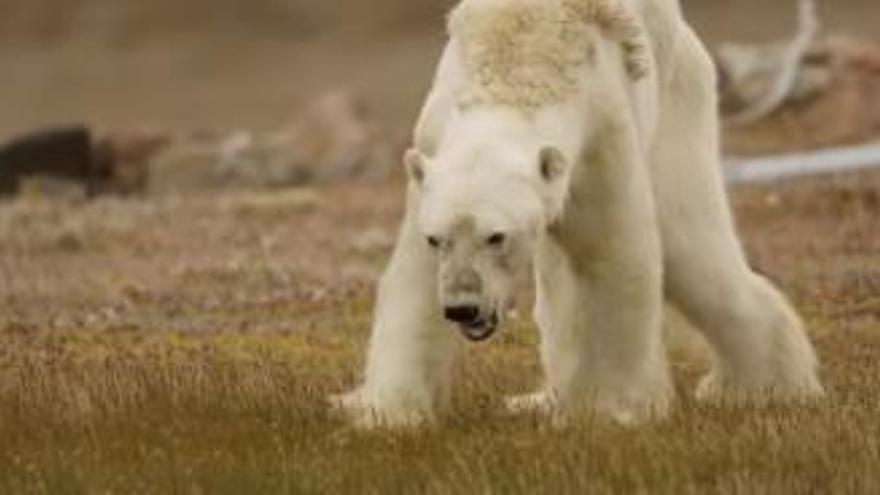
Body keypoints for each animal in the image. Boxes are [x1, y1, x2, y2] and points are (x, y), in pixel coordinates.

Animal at [332, 0, 824, 428]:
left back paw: (761, 388)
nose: (463, 309)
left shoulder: (599, 137)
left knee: (692, 252)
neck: (519, 62)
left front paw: (610, 410)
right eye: (438, 238)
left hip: (679, 105)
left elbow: (614, 257)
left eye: (497, 236)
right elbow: (413, 280)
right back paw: (542, 399)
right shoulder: (435, 143)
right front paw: (388, 413)